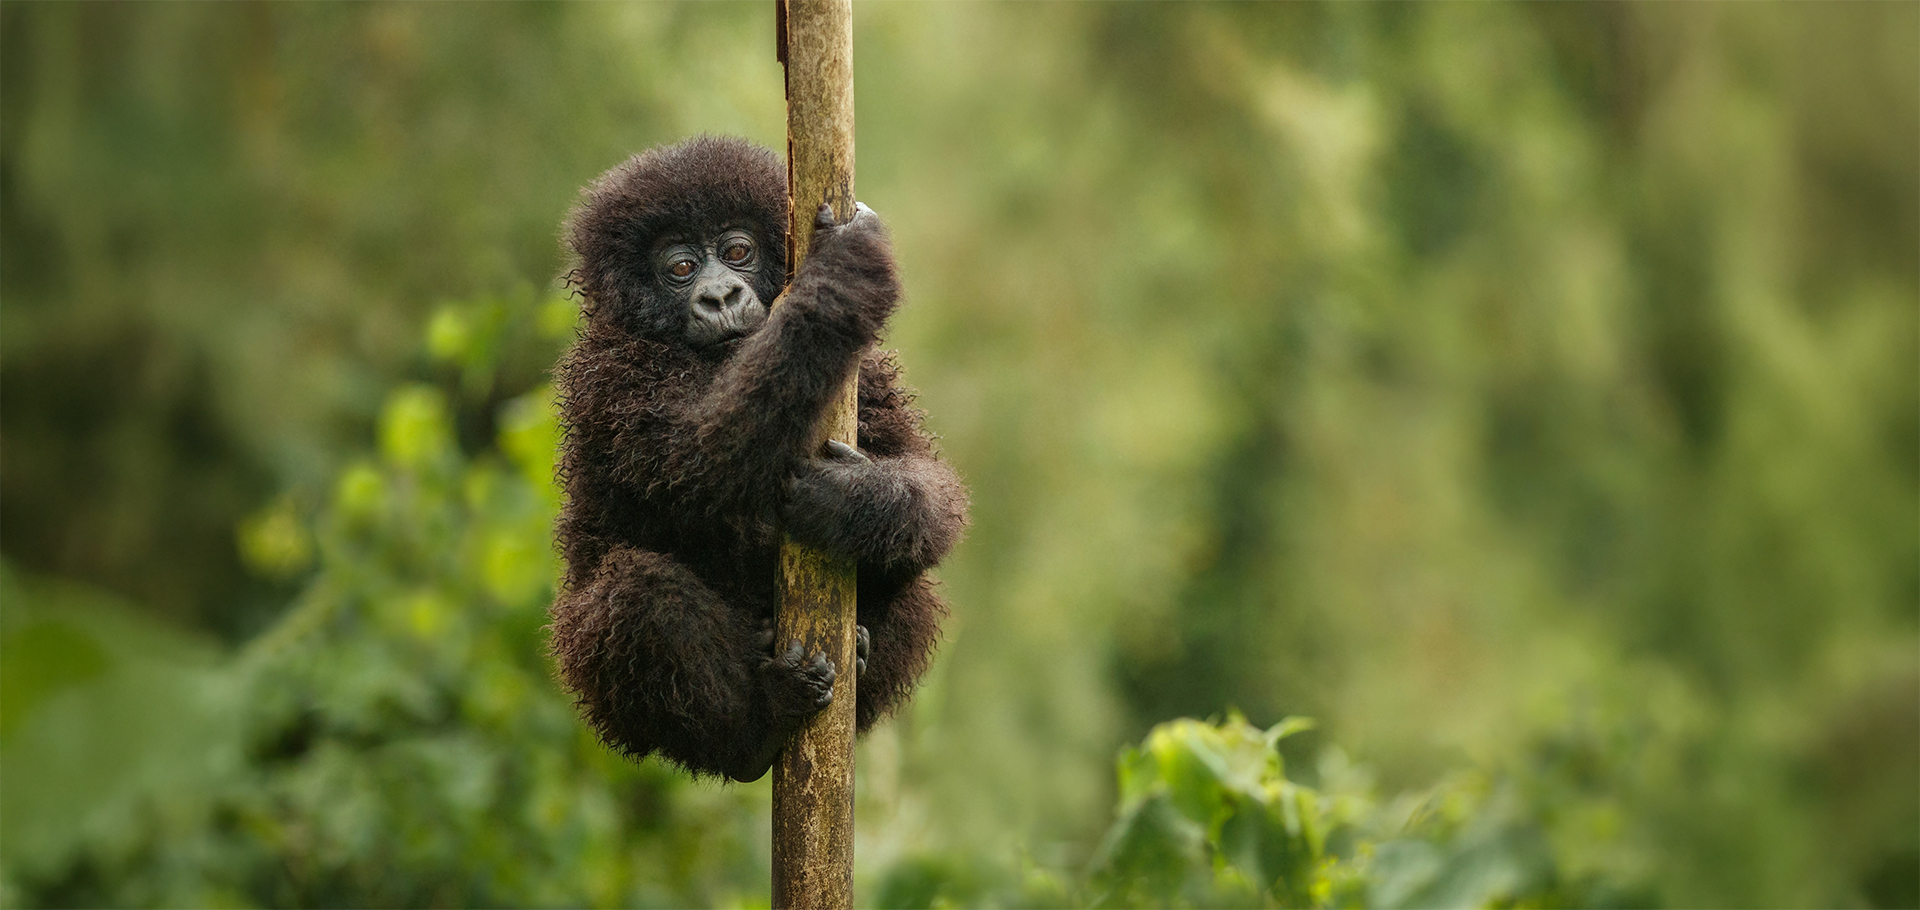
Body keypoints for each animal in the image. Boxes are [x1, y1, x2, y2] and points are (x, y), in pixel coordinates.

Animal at [546, 136, 968, 782]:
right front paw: (843, 272)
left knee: (914, 580)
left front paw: (851, 502)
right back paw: (756, 730)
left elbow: (928, 483)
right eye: (681, 268)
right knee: (638, 594)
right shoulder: (609, 377)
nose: (721, 295)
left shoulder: (867, 374)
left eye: (738, 251)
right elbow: (701, 458)